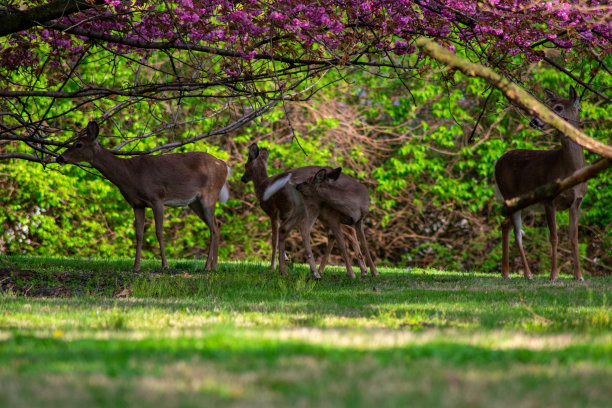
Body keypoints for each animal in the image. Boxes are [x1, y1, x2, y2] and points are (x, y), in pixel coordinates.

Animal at [56, 119, 230, 272]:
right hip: (194, 201)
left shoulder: (157, 198)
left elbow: (159, 232)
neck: (130, 174)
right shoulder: (137, 204)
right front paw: (136, 267)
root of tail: (224, 165)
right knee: (217, 224)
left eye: (79, 145)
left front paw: (165, 266)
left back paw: (207, 267)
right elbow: (139, 234)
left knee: (214, 227)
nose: (60, 157)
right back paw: (214, 266)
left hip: (209, 193)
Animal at [243, 142, 368, 278]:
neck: (262, 186)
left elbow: (273, 239)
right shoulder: (283, 215)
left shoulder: (273, 211)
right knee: (340, 231)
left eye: (245, 165)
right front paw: (286, 261)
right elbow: (280, 234)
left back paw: (318, 272)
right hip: (316, 211)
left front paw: (272, 267)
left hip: (313, 207)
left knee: (316, 230)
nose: (243, 179)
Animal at [492, 85, 588, 280]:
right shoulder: (549, 200)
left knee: (505, 224)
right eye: (547, 105)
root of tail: (497, 162)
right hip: (510, 196)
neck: (569, 169)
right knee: (517, 233)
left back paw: (506, 273)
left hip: (525, 203)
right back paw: (528, 274)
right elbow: (554, 237)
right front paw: (554, 275)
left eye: (558, 107)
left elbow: (574, 238)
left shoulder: (577, 202)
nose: (534, 121)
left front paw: (579, 276)